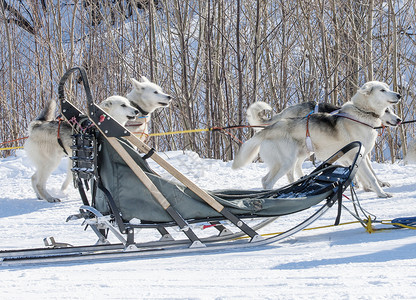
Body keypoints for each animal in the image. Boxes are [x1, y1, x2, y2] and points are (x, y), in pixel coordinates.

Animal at [232, 81, 402, 198]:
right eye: (382, 90)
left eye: (387, 87)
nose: (399, 95)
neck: (362, 113)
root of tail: (271, 127)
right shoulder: (356, 155)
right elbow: (371, 177)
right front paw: (381, 193)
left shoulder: (362, 156)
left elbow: (370, 174)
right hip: (286, 162)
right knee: (268, 182)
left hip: (293, 159)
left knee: (269, 178)